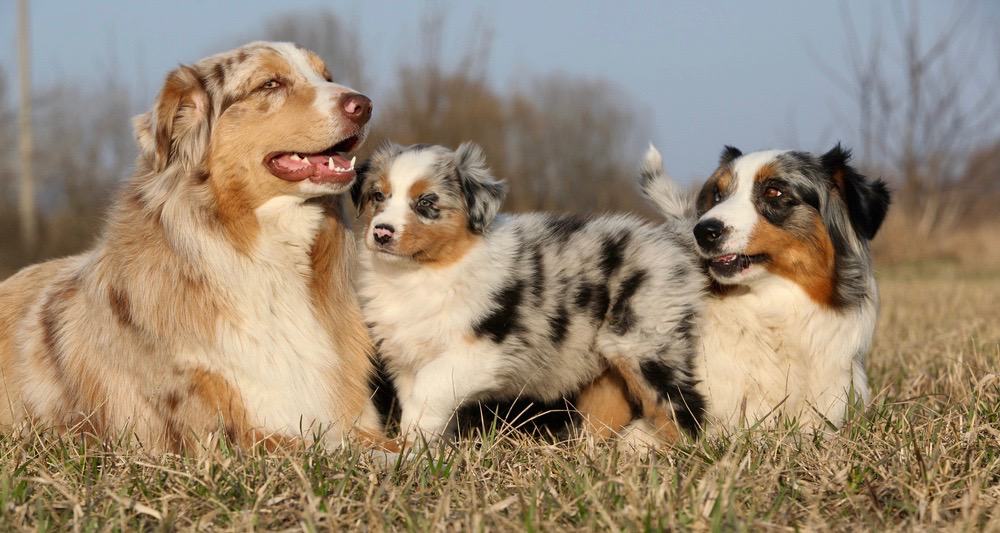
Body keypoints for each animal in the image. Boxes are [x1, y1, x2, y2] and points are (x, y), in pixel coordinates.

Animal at [0, 40, 394, 454]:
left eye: (326, 76)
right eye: (270, 84)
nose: (364, 104)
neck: (270, 262)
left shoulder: (355, 420)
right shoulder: (221, 435)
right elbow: (346, 451)